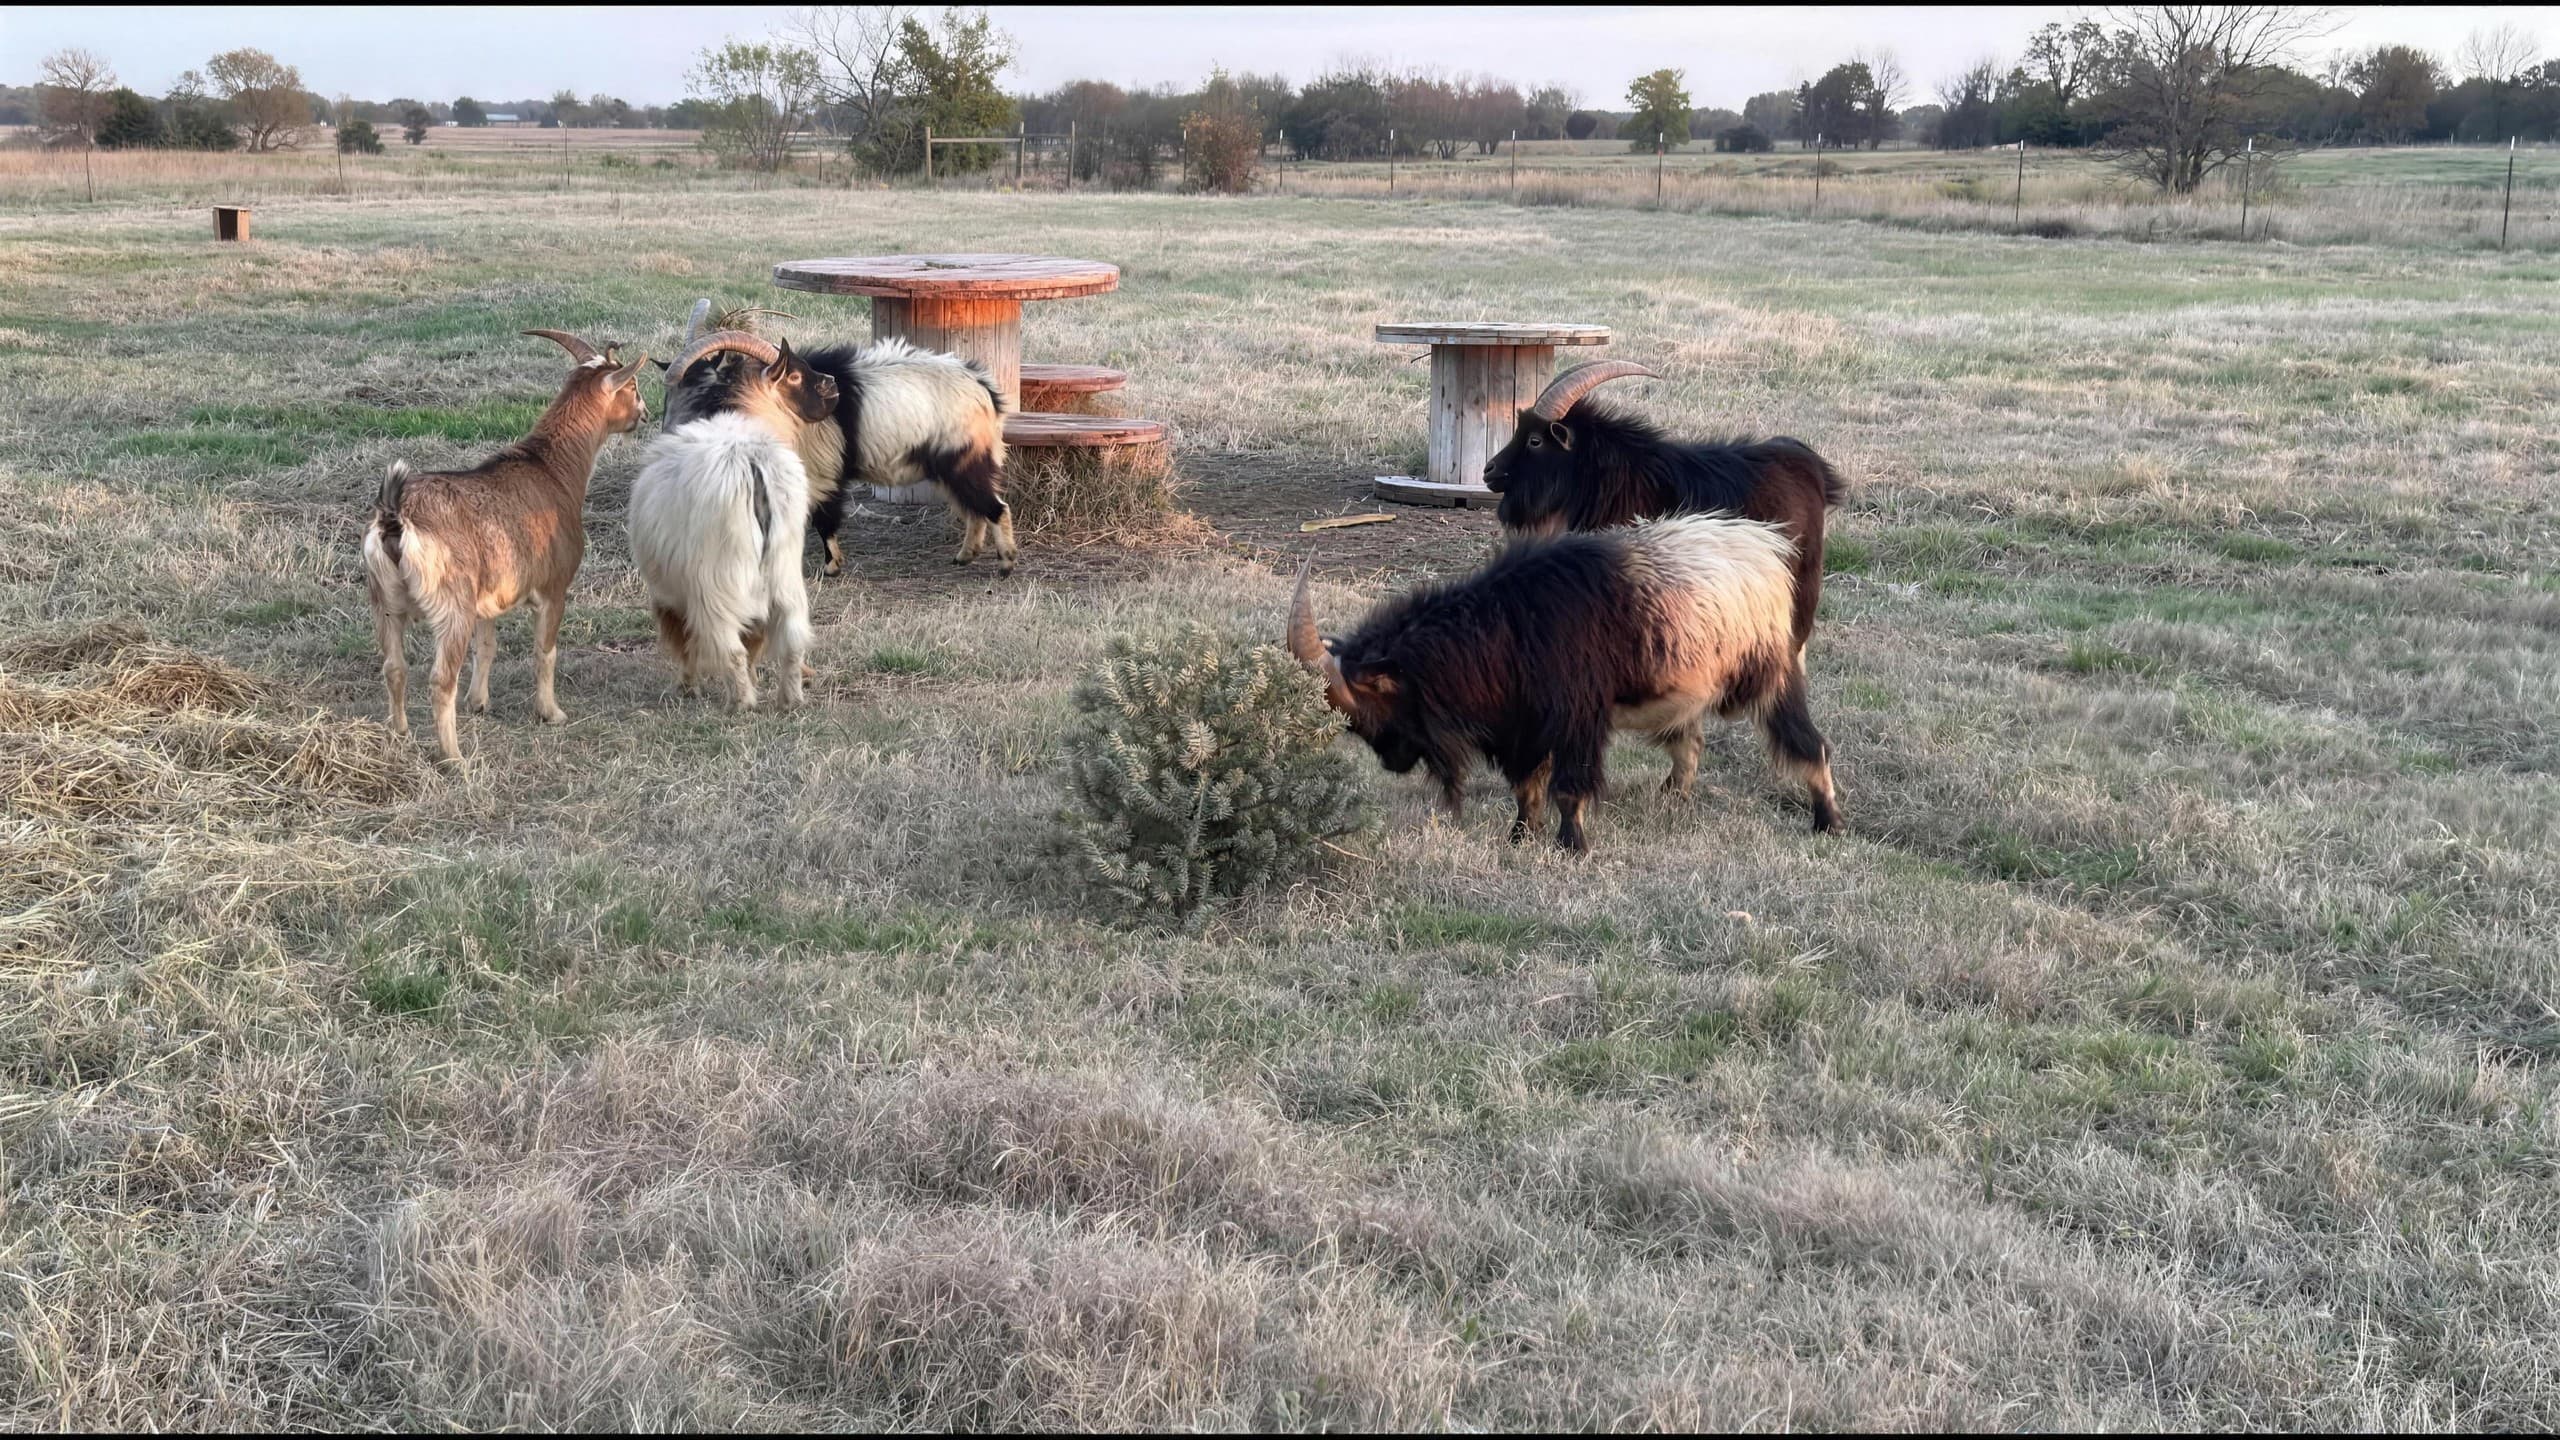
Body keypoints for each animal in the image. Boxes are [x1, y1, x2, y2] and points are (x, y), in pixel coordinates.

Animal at [363, 330, 648, 764]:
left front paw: (479, 702)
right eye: (631, 387)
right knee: (440, 680)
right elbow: (545, 651)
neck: (550, 468)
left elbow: (487, 646)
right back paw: (454, 757)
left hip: (385, 604)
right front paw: (550, 712)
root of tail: (395, 519)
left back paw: (400, 732)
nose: (644, 414)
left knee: (394, 667)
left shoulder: (488, 598)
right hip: (452, 608)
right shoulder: (553, 589)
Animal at [628, 342, 839, 709]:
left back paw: (740, 703)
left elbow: (683, 641)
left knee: (730, 647)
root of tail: (750, 465)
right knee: (789, 640)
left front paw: (687, 687)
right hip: (783, 573)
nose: (832, 383)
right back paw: (789, 699)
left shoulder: (669, 590)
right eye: (795, 375)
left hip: (717, 583)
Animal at [664, 304, 1013, 577]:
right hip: (951, 466)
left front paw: (831, 566)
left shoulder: (822, 472)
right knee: (974, 509)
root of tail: (985, 390)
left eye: (795, 375)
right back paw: (965, 556)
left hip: (963, 457)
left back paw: (1006, 562)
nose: (831, 383)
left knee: (994, 506)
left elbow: (825, 519)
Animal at [1288, 514, 1842, 853]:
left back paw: (1827, 821)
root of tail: (1765, 550)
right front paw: (1519, 836)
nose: (1392, 763)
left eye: (1371, 712)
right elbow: (1527, 786)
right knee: (1690, 744)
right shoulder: (1526, 724)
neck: (1508, 625)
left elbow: (1568, 788)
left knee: (1809, 745)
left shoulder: (1577, 716)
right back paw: (1676, 798)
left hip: (1770, 676)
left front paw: (1571, 846)